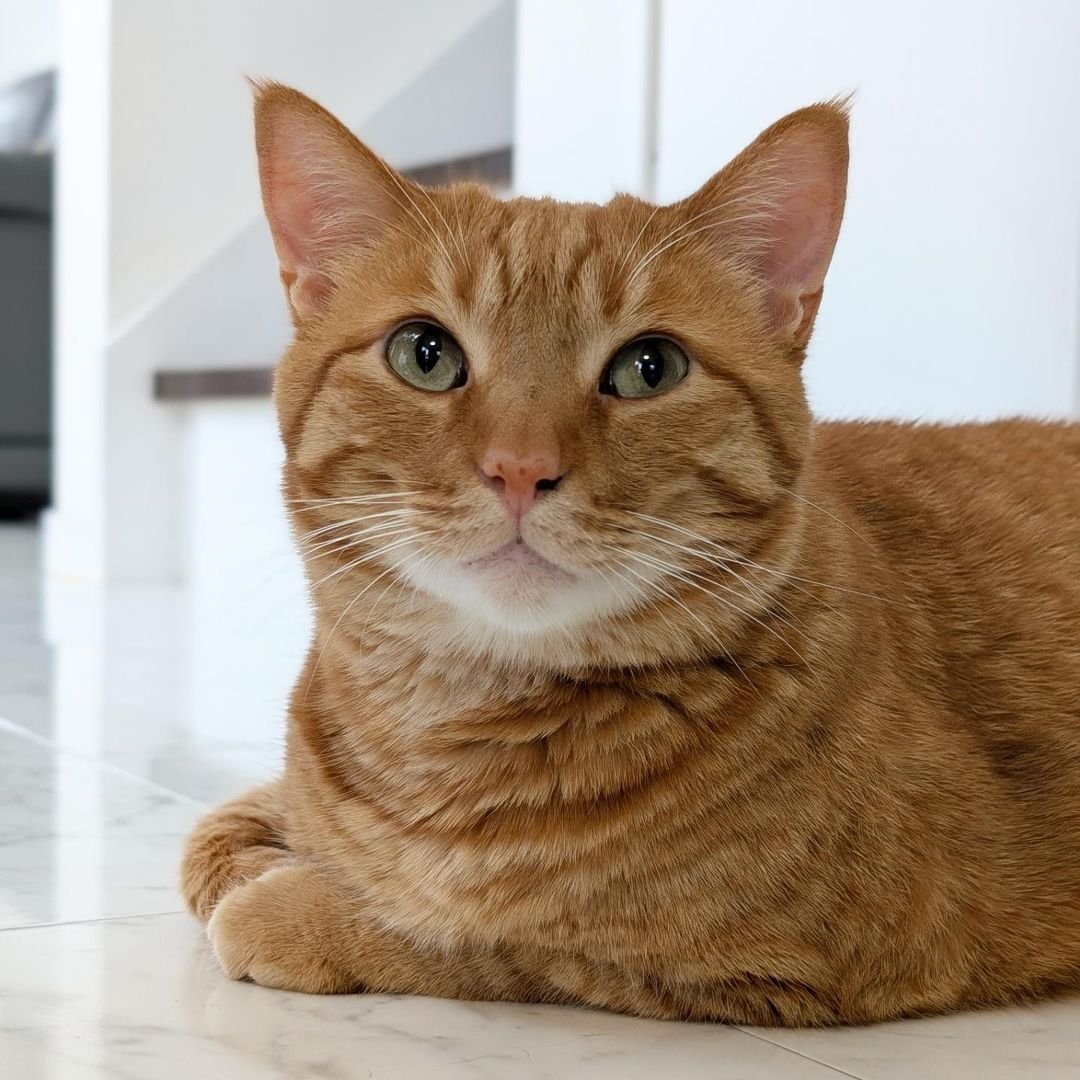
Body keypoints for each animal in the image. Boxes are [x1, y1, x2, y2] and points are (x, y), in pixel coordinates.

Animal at [181, 82, 1080, 1019]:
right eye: (423, 354)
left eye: (651, 368)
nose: (520, 467)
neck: (449, 722)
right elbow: (210, 837)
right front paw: (267, 857)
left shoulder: (804, 964)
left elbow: (500, 937)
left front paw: (298, 910)